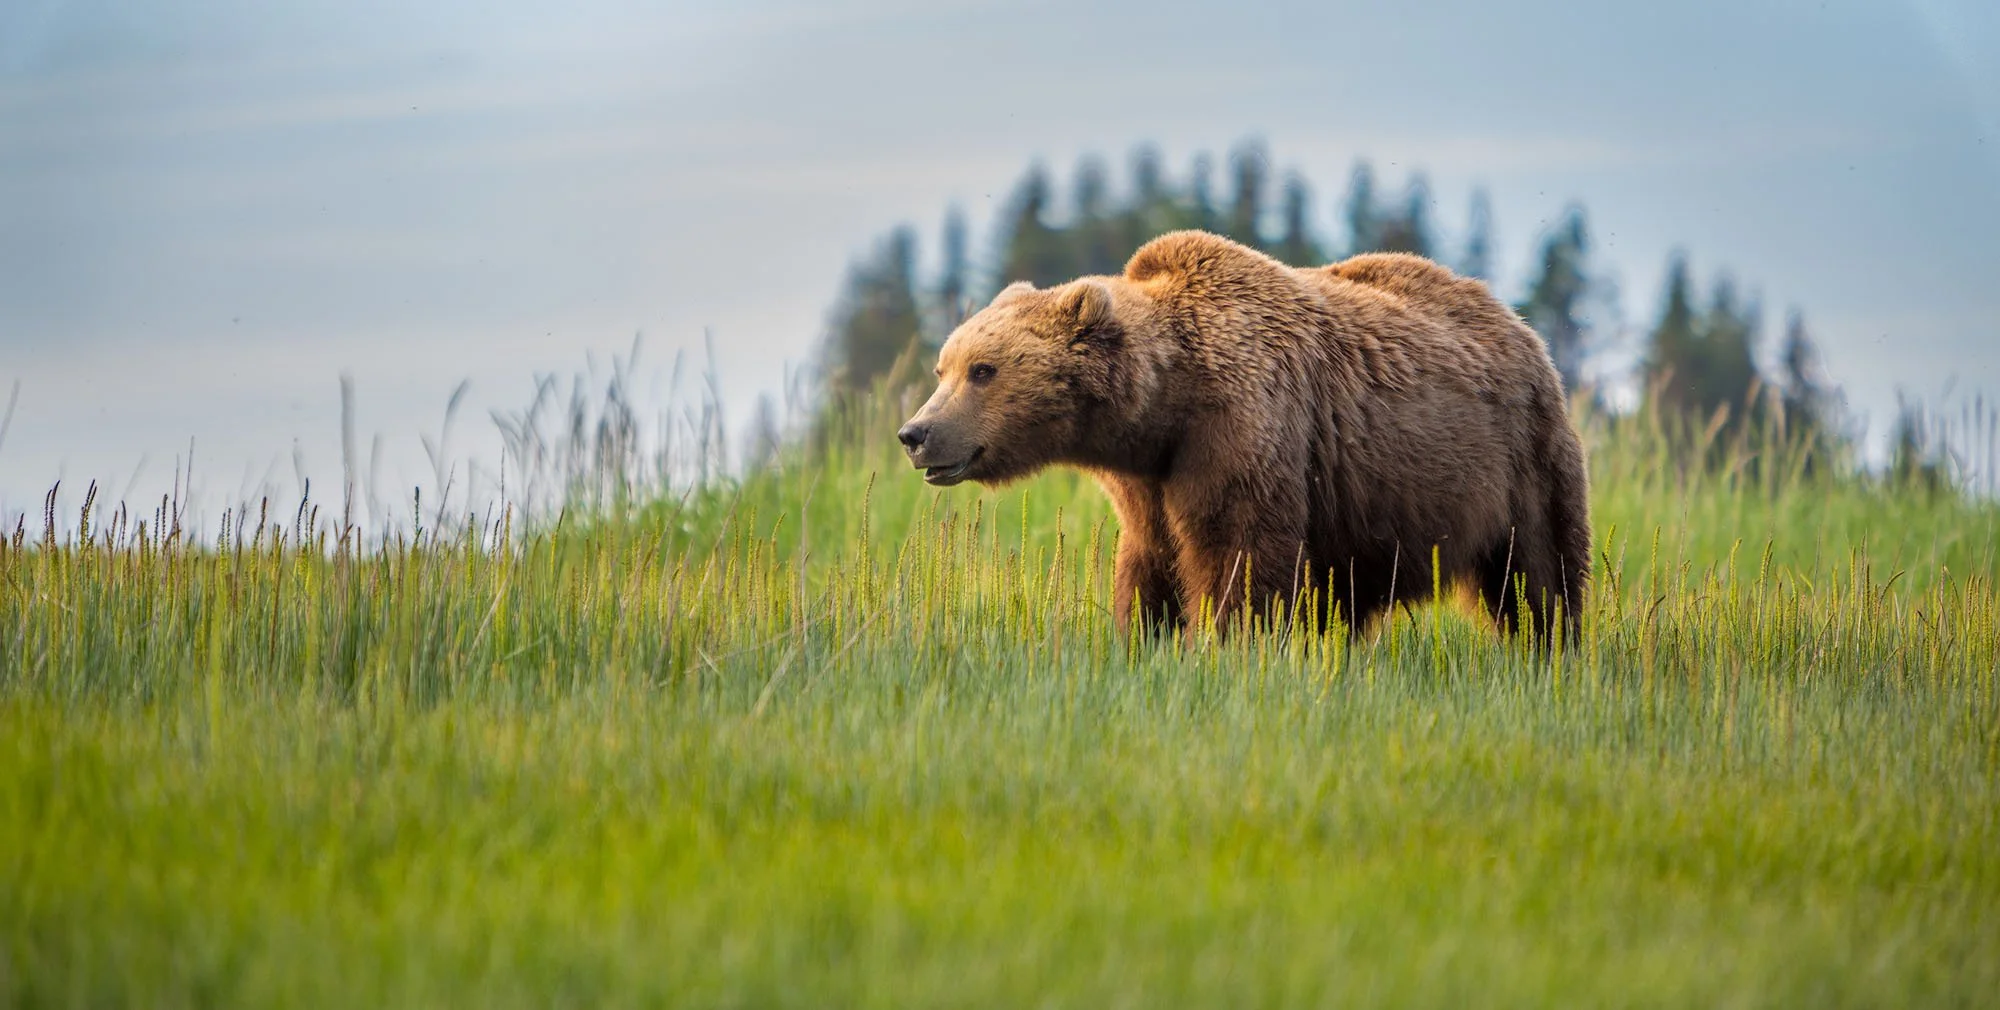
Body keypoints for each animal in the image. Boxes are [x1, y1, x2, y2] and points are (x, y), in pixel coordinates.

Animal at [896, 229, 1591, 643]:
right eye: (942, 367)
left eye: (983, 370)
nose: (916, 433)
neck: (1168, 402)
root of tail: (1519, 323)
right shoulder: (1149, 477)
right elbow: (1151, 561)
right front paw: (1143, 636)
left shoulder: (1243, 428)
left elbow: (1238, 553)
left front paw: (1227, 643)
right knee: (1350, 596)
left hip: (1517, 460)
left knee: (1538, 572)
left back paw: (1548, 647)